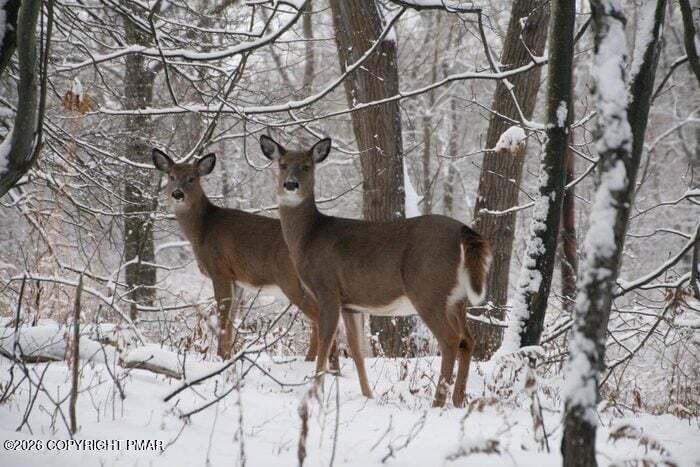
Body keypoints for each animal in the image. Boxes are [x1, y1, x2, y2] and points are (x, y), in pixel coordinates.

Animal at [152, 147, 348, 366]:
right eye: (171, 176)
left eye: (192, 178)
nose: (177, 193)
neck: (202, 229)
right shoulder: (236, 278)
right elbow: (231, 318)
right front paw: (229, 356)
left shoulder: (219, 268)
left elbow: (222, 314)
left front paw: (220, 357)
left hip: (291, 281)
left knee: (320, 318)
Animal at [260, 135, 492, 407]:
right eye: (282, 164)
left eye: (307, 166)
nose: (290, 184)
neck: (309, 237)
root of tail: (462, 231)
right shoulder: (350, 303)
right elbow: (357, 349)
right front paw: (368, 394)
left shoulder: (327, 289)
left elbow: (326, 342)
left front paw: (316, 393)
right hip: (457, 298)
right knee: (468, 339)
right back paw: (457, 401)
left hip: (428, 289)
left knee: (450, 340)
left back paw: (437, 403)